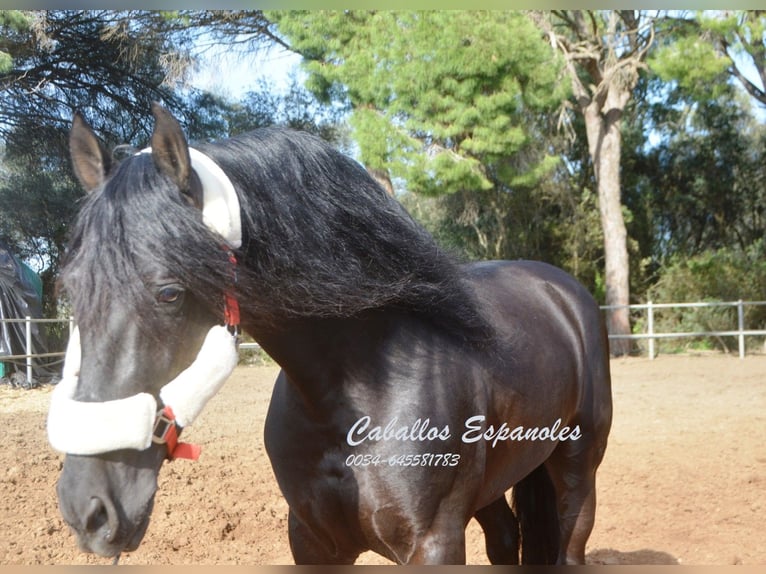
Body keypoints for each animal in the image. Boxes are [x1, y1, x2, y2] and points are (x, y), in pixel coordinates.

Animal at [51, 104, 616, 568]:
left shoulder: (433, 543)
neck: (354, 390)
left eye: (169, 292)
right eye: (71, 285)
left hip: (577, 472)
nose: (88, 509)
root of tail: (561, 290)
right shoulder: (312, 541)